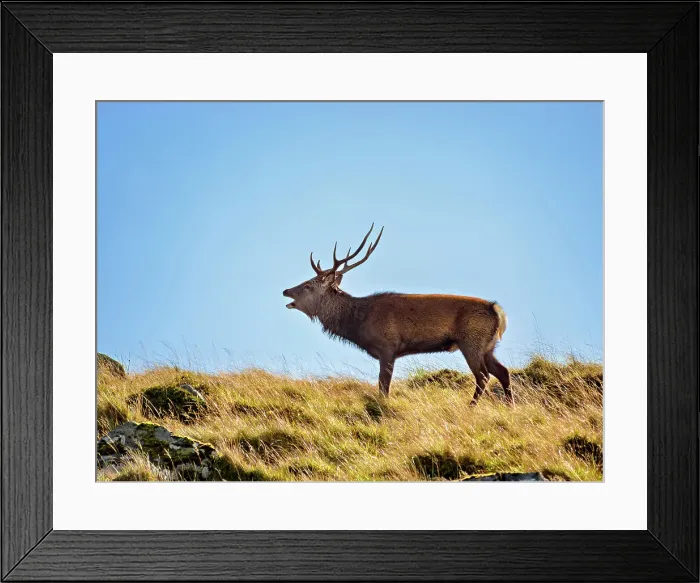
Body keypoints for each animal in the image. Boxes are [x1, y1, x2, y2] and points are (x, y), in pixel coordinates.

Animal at [282, 224, 512, 405]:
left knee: (483, 376)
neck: (358, 323)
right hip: (488, 346)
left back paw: (471, 406)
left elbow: (383, 387)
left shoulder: (387, 347)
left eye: (308, 285)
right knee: (503, 371)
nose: (286, 291)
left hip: (471, 341)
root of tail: (497, 311)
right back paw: (510, 405)